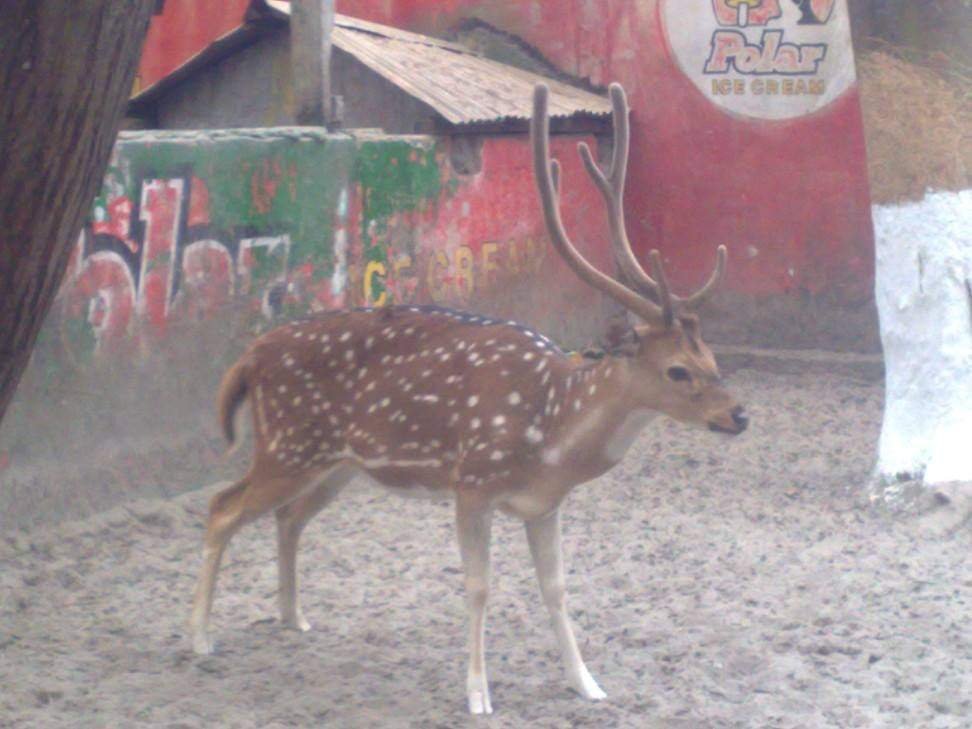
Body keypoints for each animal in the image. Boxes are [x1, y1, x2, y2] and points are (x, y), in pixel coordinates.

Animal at [189, 82, 748, 715]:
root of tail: (251, 355)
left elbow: (557, 588)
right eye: (678, 370)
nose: (739, 414)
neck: (551, 437)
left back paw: (293, 617)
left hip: (337, 464)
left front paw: (587, 682)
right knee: (222, 508)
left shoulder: (545, 505)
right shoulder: (472, 483)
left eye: (712, 357)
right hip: (288, 444)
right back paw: (200, 637)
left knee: (288, 517)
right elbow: (479, 587)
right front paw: (478, 693)